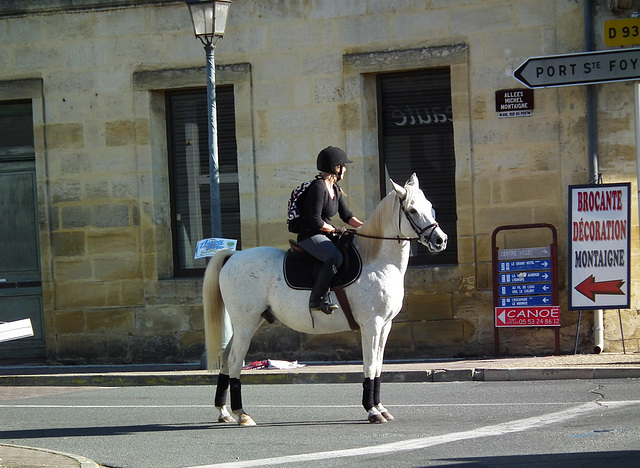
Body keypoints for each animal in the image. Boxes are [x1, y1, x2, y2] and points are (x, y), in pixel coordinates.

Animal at [204, 174, 444, 426]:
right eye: (413, 210)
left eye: (430, 206)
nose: (440, 240)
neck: (377, 261)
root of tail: (234, 255)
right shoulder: (372, 325)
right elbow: (369, 365)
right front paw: (372, 410)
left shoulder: (384, 326)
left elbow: (378, 367)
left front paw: (380, 408)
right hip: (245, 324)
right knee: (234, 361)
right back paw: (242, 414)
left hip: (250, 322)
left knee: (225, 357)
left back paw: (224, 412)